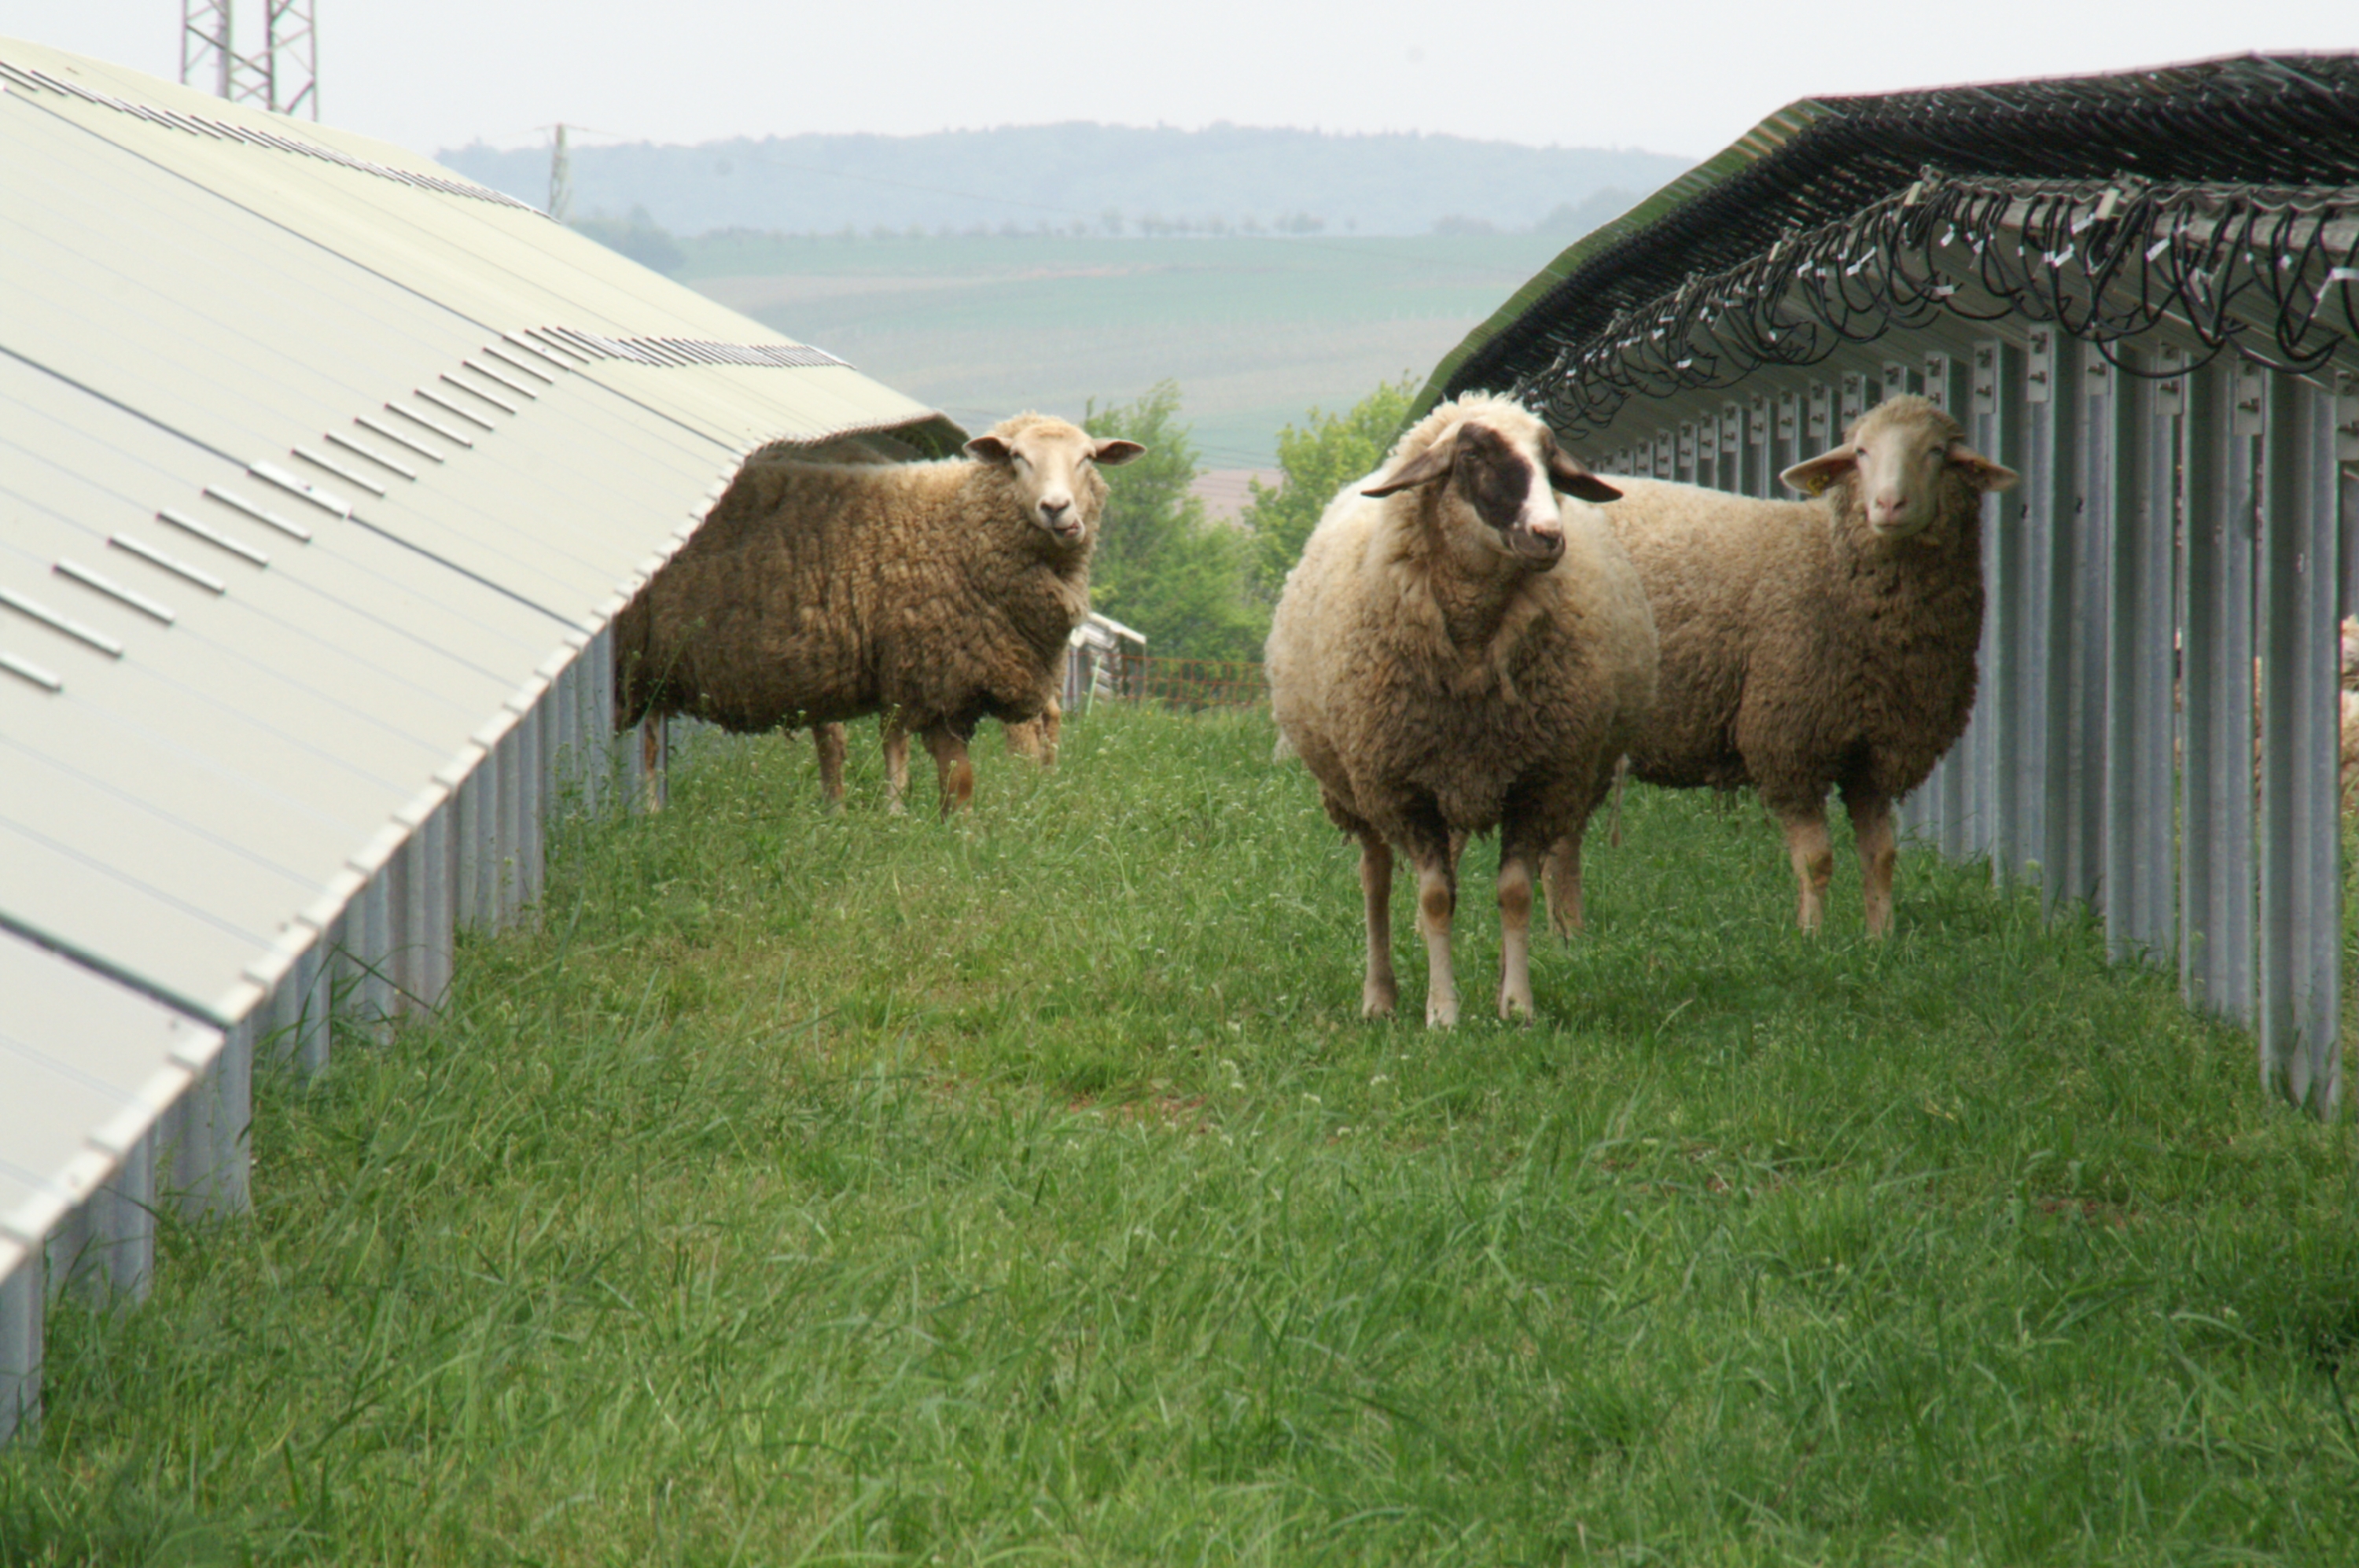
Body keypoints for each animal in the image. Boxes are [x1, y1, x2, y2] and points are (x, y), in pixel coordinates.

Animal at [613, 412, 1137, 820]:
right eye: (1017, 458)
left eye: (1087, 458)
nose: (1056, 509)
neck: (958, 527)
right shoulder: (928, 678)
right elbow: (941, 777)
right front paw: (941, 835)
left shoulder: (919, 681)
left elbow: (929, 770)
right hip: (630, 665)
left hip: (653, 671)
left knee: (651, 743)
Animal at [1274, 391, 1661, 1028]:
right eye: (1474, 456)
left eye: (1550, 461)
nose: (1548, 535)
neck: (1476, 650)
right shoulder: (1405, 789)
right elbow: (1434, 898)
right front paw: (1443, 1014)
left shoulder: (1538, 781)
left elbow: (1516, 893)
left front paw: (1517, 1005)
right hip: (1358, 788)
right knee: (1376, 880)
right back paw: (1379, 997)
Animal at [1576, 391, 2019, 933]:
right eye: (1861, 452)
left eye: (1936, 451)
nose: (1889, 505)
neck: (1831, 562)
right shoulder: (1790, 738)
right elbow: (1815, 859)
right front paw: (1812, 937)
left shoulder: (1875, 751)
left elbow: (1881, 856)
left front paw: (1881, 939)